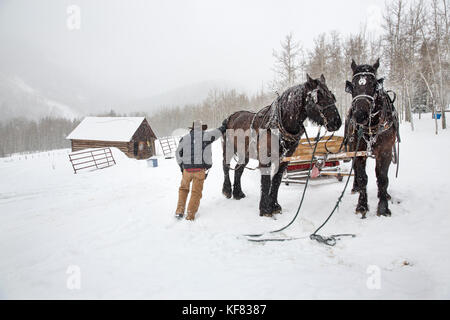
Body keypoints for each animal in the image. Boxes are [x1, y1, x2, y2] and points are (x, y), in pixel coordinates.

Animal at [221, 74, 342, 216]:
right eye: (318, 98)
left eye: (332, 96)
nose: (337, 122)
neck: (278, 125)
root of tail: (230, 117)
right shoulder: (265, 159)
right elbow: (266, 182)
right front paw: (265, 209)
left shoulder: (284, 159)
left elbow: (277, 180)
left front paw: (274, 206)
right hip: (228, 149)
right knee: (226, 166)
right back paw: (227, 190)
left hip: (244, 153)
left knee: (238, 169)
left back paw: (238, 193)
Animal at [344, 59, 400, 219]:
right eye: (353, 85)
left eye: (373, 84)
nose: (360, 115)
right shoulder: (359, 150)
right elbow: (363, 177)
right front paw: (362, 205)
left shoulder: (385, 151)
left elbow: (382, 178)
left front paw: (383, 207)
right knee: (356, 170)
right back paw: (355, 187)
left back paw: (385, 194)